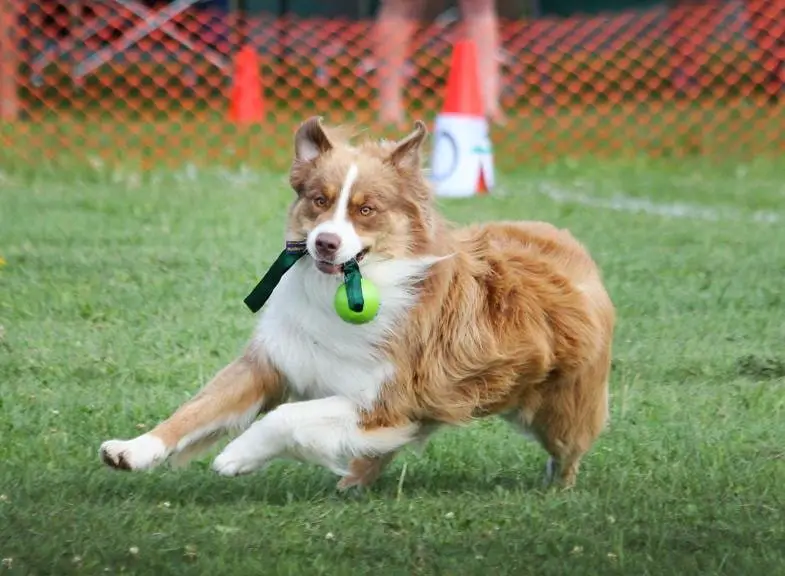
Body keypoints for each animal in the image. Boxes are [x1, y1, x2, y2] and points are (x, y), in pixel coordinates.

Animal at [96, 117, 612, 490]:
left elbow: (285, 417)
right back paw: (353, 484)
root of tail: (566, 240)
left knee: (569, 450)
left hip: (562, 411)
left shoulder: (384, 398)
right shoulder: (274, 361)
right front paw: (133, 450)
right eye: (318, 201)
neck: (346, 287)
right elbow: (196, 409)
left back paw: (557, 489)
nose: (324, 243)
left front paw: (235, 457)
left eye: (366, 209)